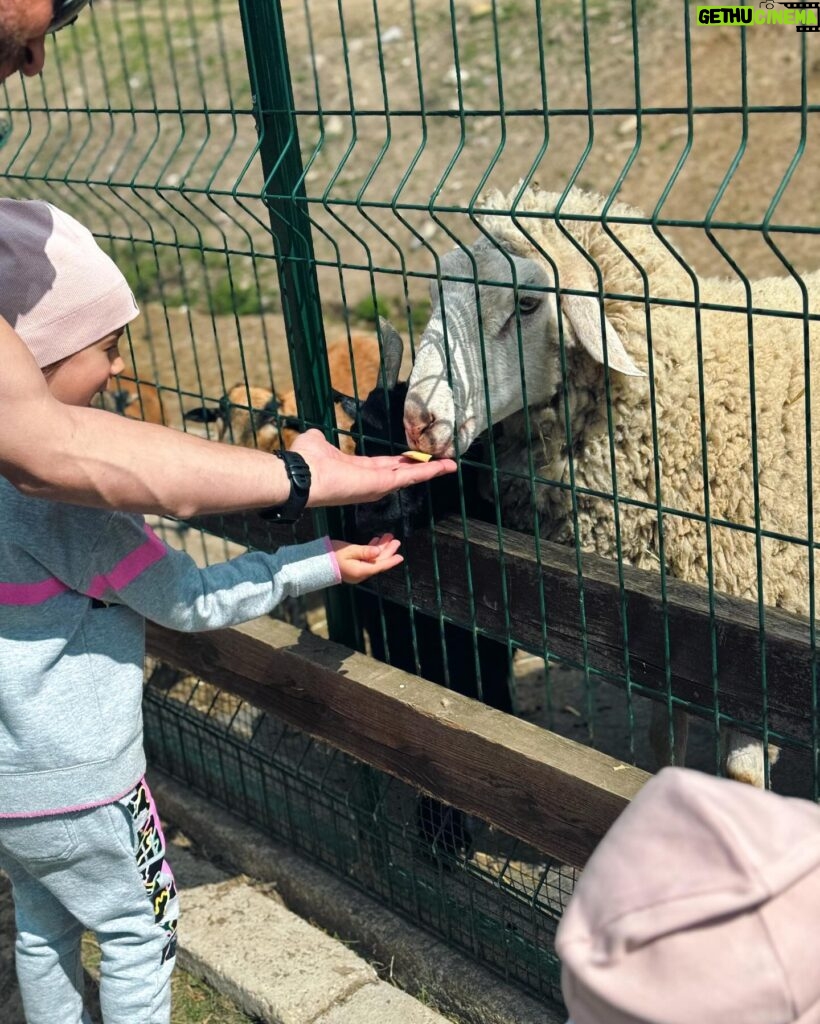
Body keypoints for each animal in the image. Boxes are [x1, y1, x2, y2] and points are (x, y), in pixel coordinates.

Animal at [403, 182, 818, 790]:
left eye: (527, 304)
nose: (416, 419)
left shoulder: (764, 639)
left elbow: (741, 776)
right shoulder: (670, 629)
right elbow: (663, 741)